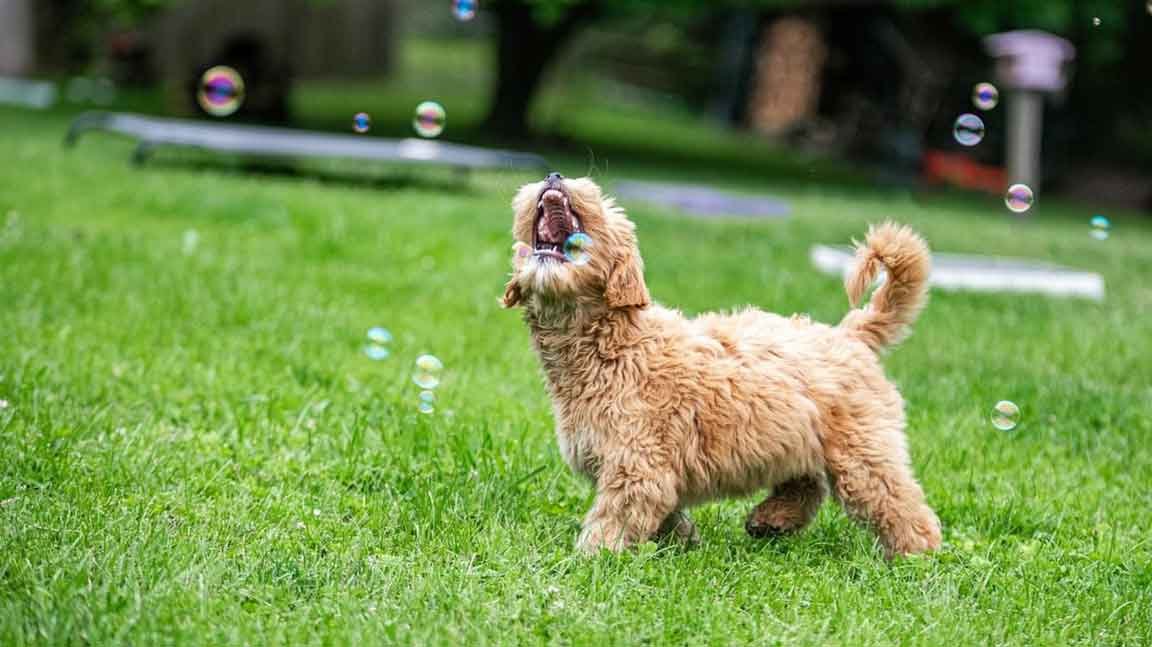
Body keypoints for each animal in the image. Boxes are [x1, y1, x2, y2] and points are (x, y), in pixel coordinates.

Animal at [504, 173, 944, 557]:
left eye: (597, 197)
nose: (554, 175)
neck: (613, 343)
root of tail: (852, 333)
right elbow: (666, 511)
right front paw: (682, 541)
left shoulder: (637, 463)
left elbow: (617, 515)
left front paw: (591, 557)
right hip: (799, 437)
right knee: (808, 484)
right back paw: (773, 519)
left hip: (862, 450)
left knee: (895, 500)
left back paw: (918, 555)